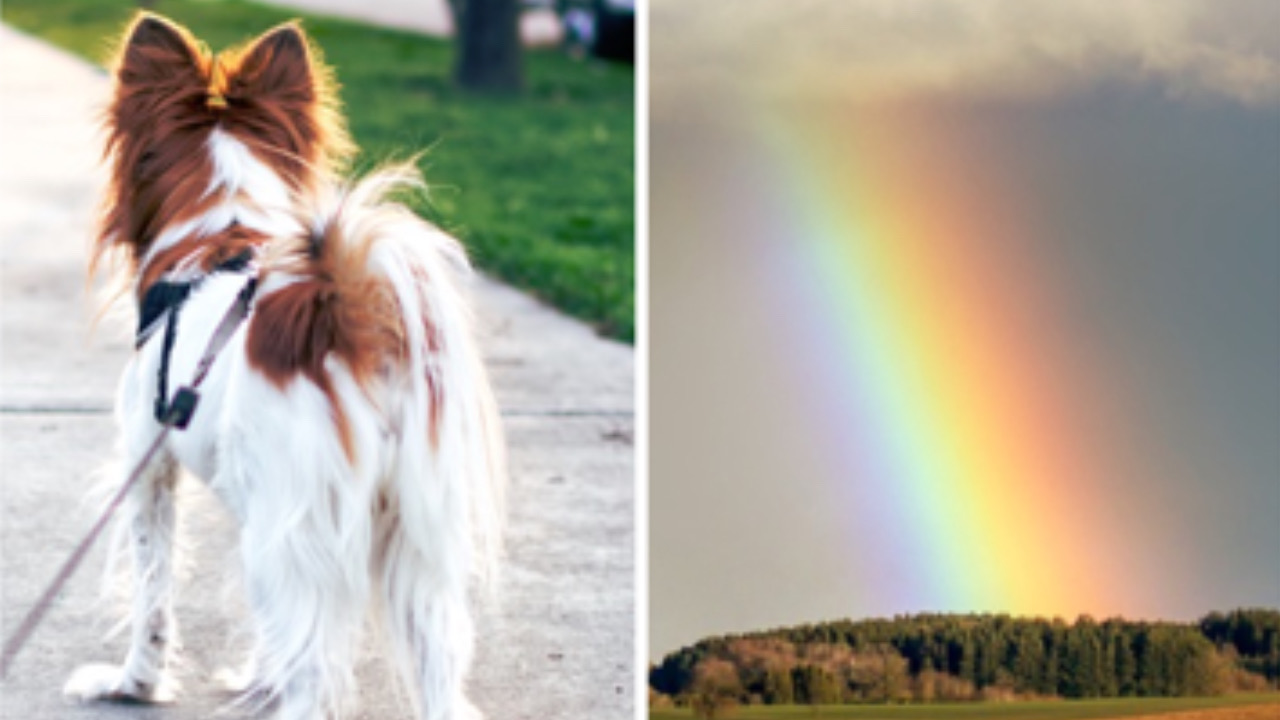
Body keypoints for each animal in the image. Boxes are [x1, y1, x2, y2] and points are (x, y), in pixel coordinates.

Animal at [61, 12, 504, 717]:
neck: (222, 229)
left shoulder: (149, 465)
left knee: (314, 677)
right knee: (437, 675)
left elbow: (152, 594)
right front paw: (255, 677)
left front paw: (134, 685)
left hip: (303, 529)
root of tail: (350, 315)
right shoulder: (264, 510)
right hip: (412, 545)